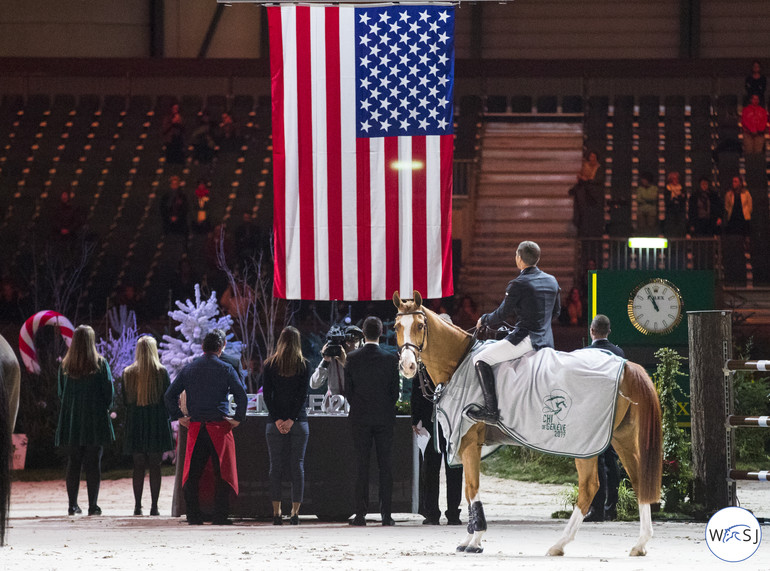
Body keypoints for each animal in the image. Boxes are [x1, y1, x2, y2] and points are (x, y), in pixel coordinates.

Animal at [392, 292, 664, 556]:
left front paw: (475, 540)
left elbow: (471, 487)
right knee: (638, 480)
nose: (408, 366)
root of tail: (627, 366)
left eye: (419, 325)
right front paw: (469, 538)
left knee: (590, 487)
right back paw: (640, 544)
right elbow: (469, 491)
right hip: (621, 436)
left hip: (586, 443)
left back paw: (559, 544)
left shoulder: (468, 440)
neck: (460, 365)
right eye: (396, 326)